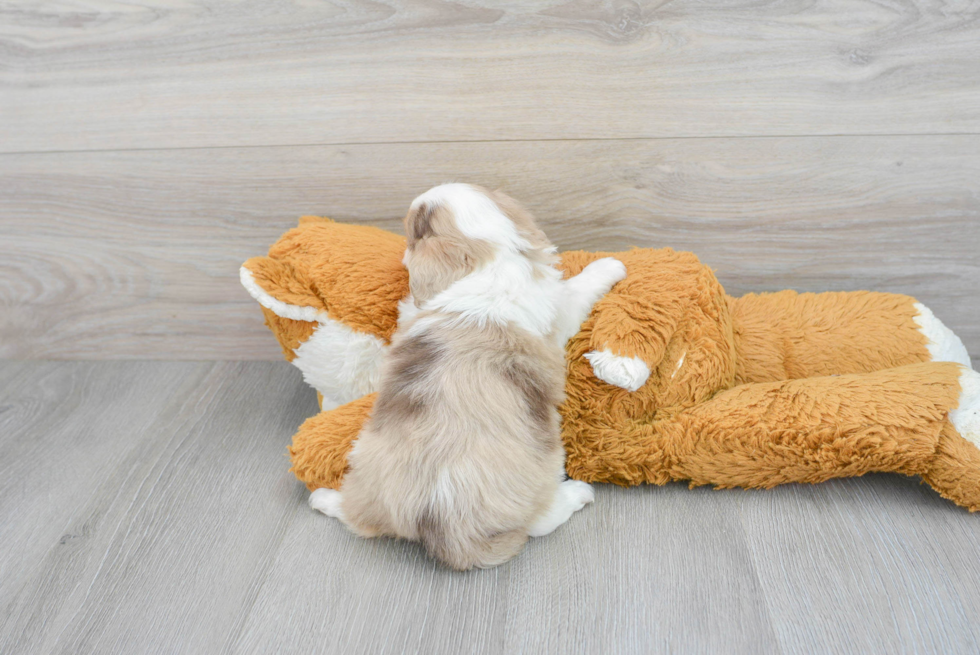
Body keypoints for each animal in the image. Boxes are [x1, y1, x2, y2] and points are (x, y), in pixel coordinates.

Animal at [310, 184, 624, 568]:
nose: (402, 254)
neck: (488, 263)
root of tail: (444, 523)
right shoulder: (560, 307)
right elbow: (579, 288)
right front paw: (610, 264)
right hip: (546, 466)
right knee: (538, 523)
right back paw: (577, 494)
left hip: (365, 463)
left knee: (358, 515)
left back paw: (324, 498)